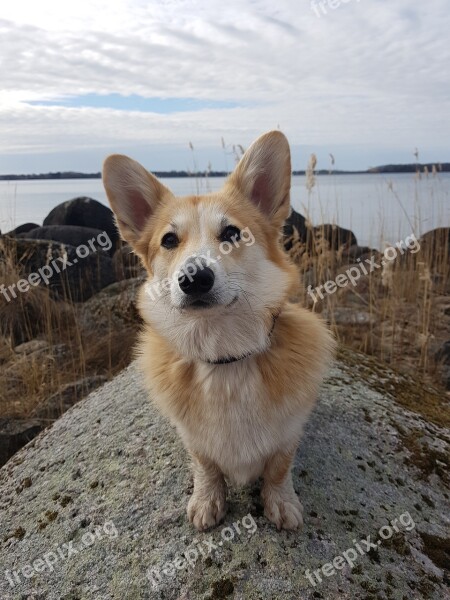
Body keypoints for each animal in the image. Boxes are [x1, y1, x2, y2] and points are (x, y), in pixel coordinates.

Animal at [102, 130, 334, 528]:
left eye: (231, 232)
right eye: (168, 240)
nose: (194, 278)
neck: (225, 357)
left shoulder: (288, 434)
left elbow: (278, 468)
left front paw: (281, 502)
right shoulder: (194, 440)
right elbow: (206, 466)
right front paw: (208, 500)